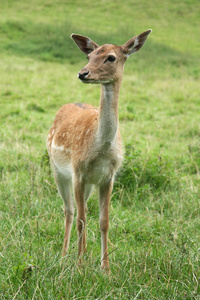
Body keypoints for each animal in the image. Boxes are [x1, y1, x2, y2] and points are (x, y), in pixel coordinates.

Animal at [46, 29, 151, 274]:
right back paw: (65, 255)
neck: (101, 148)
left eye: (111, 57)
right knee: (69, 211)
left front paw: (106, 268)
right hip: (57, 169)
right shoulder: (78, 172)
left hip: (88, 184)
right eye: (89, 56)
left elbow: (104, 221)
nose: (82, 73)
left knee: (78, 209)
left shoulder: (108, 177)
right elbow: (81, 219)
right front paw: (80, 264)